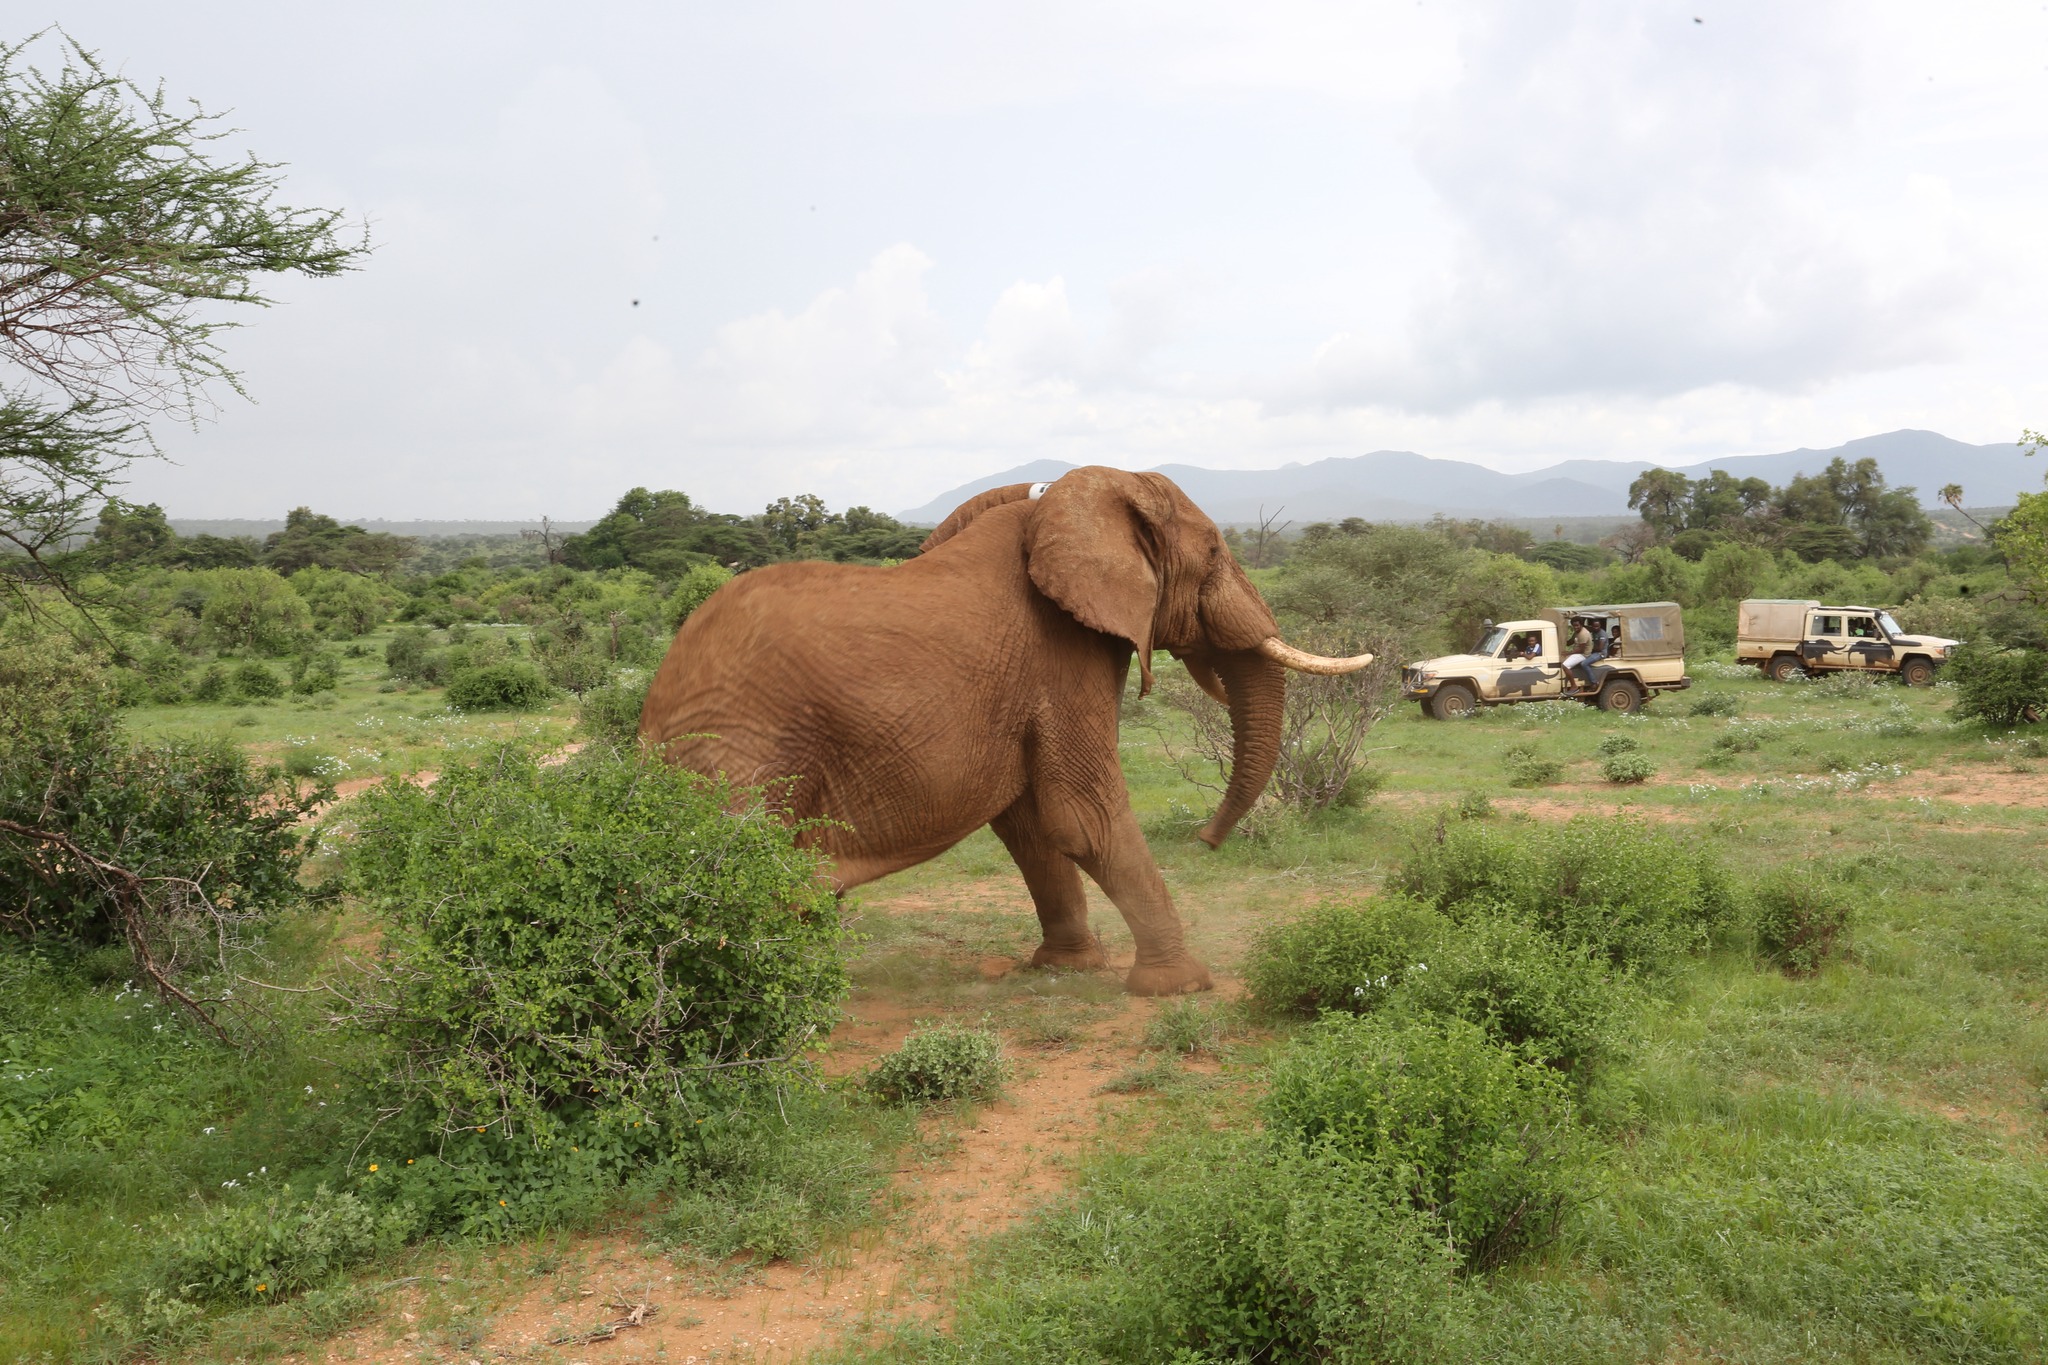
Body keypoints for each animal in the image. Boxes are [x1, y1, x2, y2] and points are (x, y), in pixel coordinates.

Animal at [637, 466, 1371, 995]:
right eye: (1216, 550)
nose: (1206, 841)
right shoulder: (1062, 654)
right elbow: (1081, 812)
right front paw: (1182, 985)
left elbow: (1031, 824)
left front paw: (1067, 968)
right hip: (742, 752)